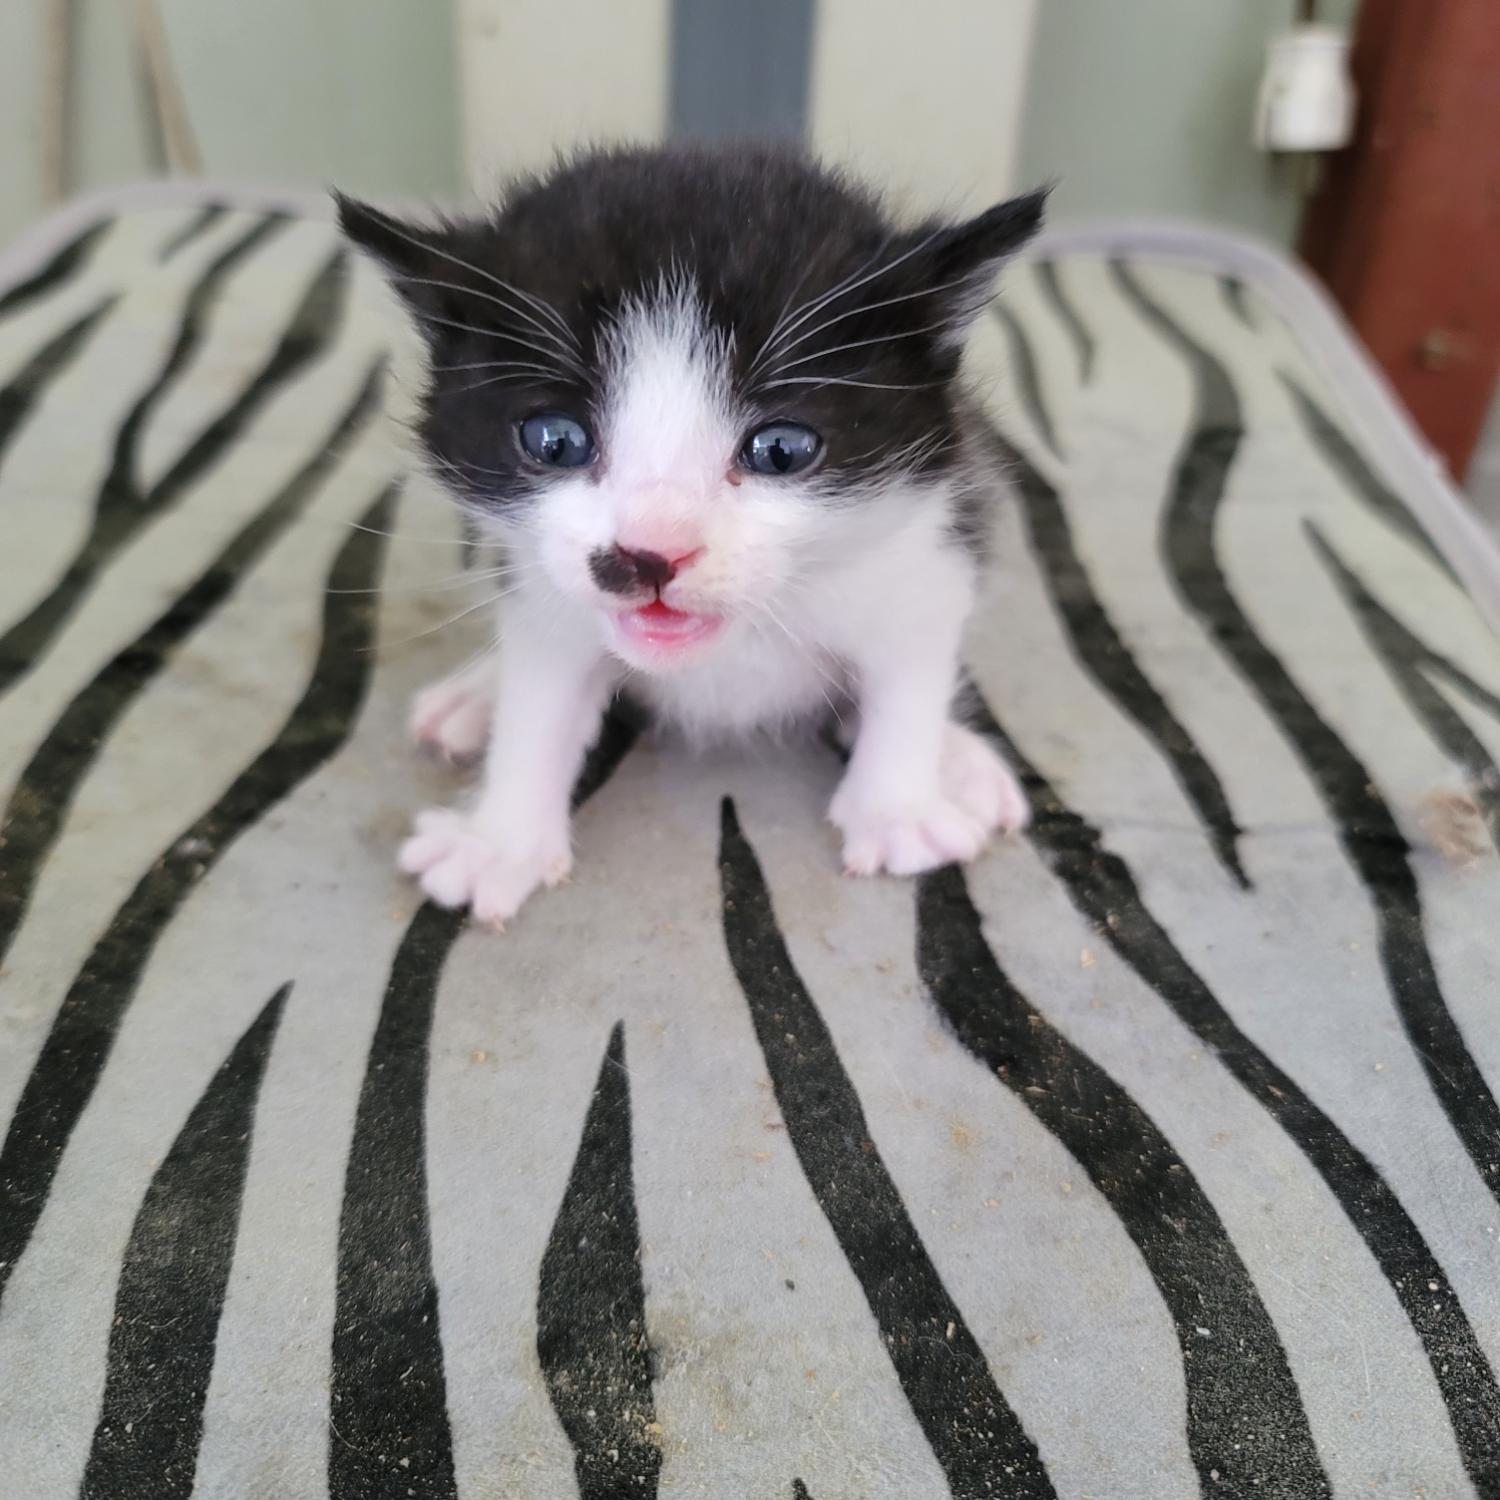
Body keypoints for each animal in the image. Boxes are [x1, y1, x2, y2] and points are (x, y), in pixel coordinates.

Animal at [339, 146, 1044, 930]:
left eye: (781, 451)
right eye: (555, 441)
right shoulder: (542, 588)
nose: (649, 555)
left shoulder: (931, 543)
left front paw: (899, 809)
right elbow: (541, 696)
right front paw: (501, 841)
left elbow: (909, 672)